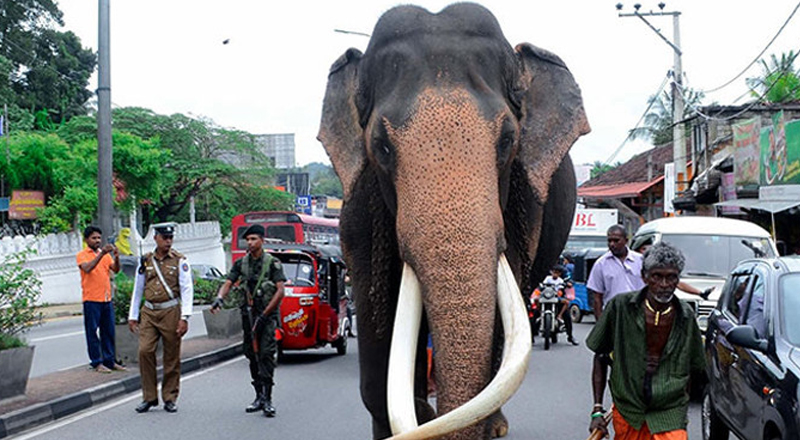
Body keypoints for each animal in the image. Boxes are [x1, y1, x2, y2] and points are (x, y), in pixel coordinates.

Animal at [318, 4, 588, 440]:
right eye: (382, 146)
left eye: (507, 141)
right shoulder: (357, 210)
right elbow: (377, 325)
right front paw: (418, 411)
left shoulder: (522, 209)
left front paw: (472, 423)